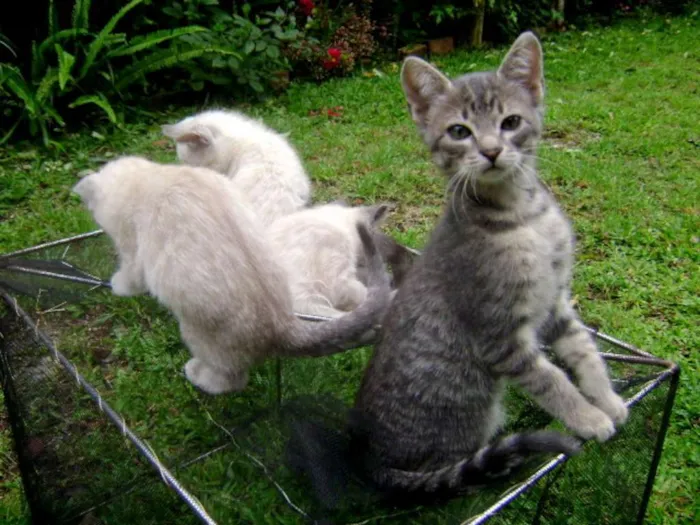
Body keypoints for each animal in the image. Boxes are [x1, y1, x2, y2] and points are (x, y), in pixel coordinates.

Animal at [73, 156, 391, 395]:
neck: (155, 177)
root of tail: (284, 324)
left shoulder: (132, 252)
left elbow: (128, 276)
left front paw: (117, 286)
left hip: (192, 330)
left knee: (231, 381)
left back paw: (195, 374)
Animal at [288, 32, 628, 505]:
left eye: (510, 122)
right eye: (459, 132)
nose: (491, 151)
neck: (522, 216)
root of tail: (371, 462)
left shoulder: (555, 301)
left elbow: (584, 352)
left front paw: (608, 400)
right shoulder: (498, 335)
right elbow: (551, 379)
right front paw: (588, 418)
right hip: (474, 401)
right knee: (455, 479)